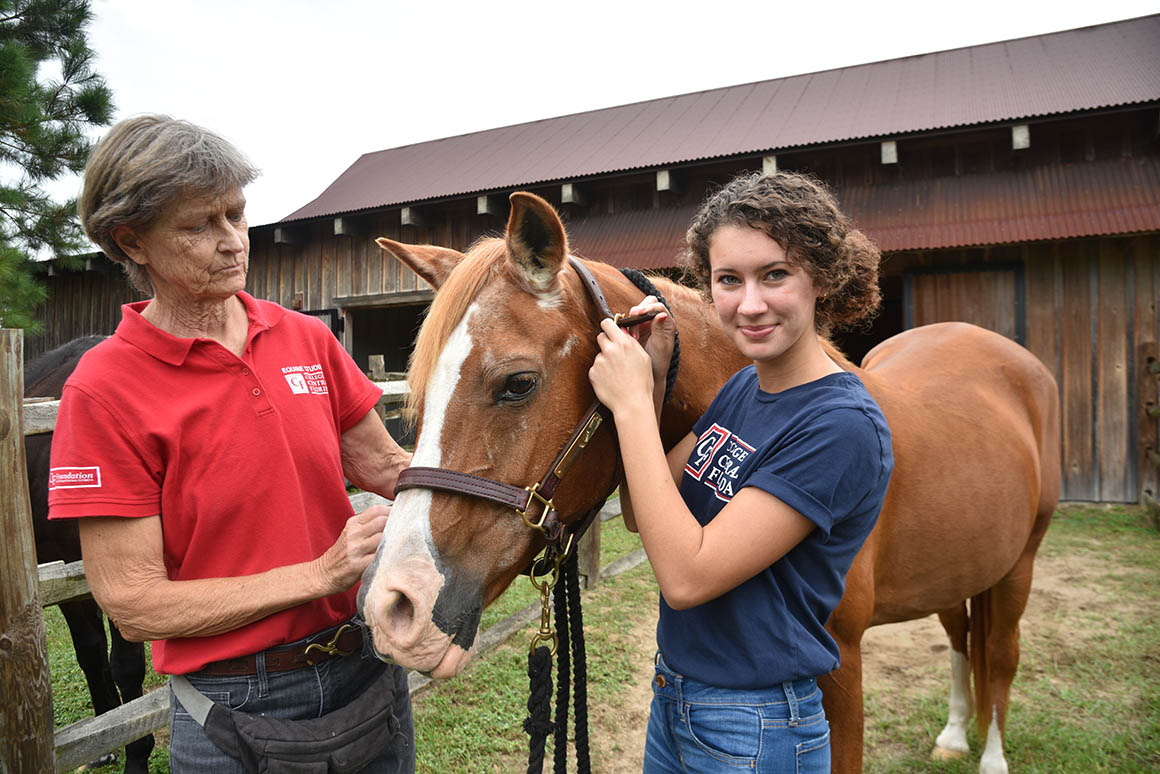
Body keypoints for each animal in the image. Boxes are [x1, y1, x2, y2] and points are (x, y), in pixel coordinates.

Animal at [359, 189, 1062, 774]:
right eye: (415, 398)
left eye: (518, 383)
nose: (393, 606)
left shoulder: (842, 671)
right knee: (960, 639)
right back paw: (953, 735)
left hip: (1019, 562)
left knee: (1000, 655)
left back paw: (990, 757)